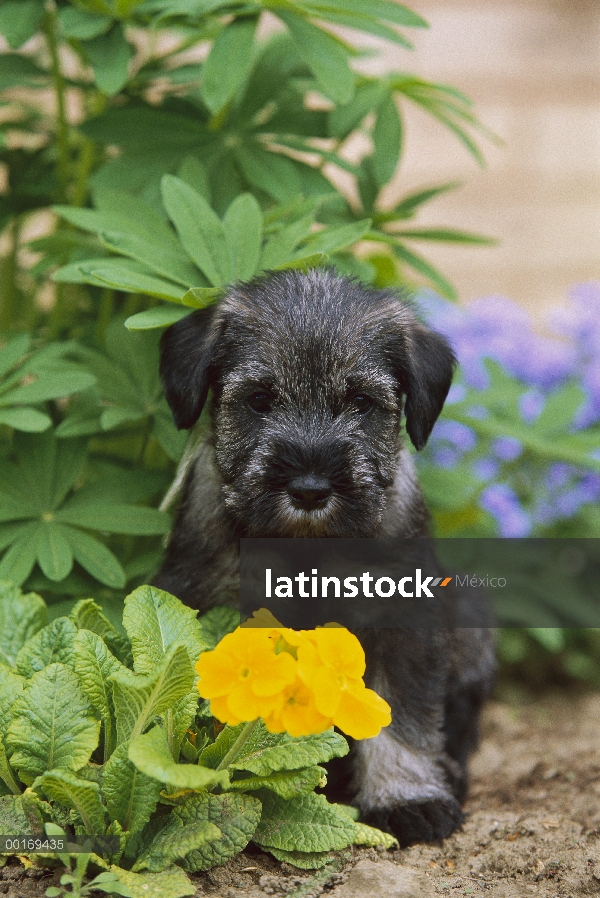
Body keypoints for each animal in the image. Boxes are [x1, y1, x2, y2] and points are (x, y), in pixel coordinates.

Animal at [155, 266, 496, 848]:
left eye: (361, 402)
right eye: (259, 400)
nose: (311, 488)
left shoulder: (404, 627)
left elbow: (399, 718)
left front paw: (407, 798)